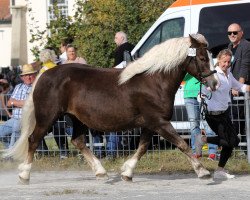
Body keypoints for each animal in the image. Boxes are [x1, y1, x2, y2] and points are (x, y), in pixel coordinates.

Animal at [3, 33, 219, 184]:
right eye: (201, 58)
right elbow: (182, 144)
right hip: (48, 117)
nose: (214, 83)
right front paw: (203, 172)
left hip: (76, 119)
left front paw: (127, 172)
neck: (154, 80)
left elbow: (142, 148)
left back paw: (101, 172)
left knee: (78, 141)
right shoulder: (160, 123)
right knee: (33, 140)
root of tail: (44, 75)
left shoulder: (150, 124)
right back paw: (24, 175)